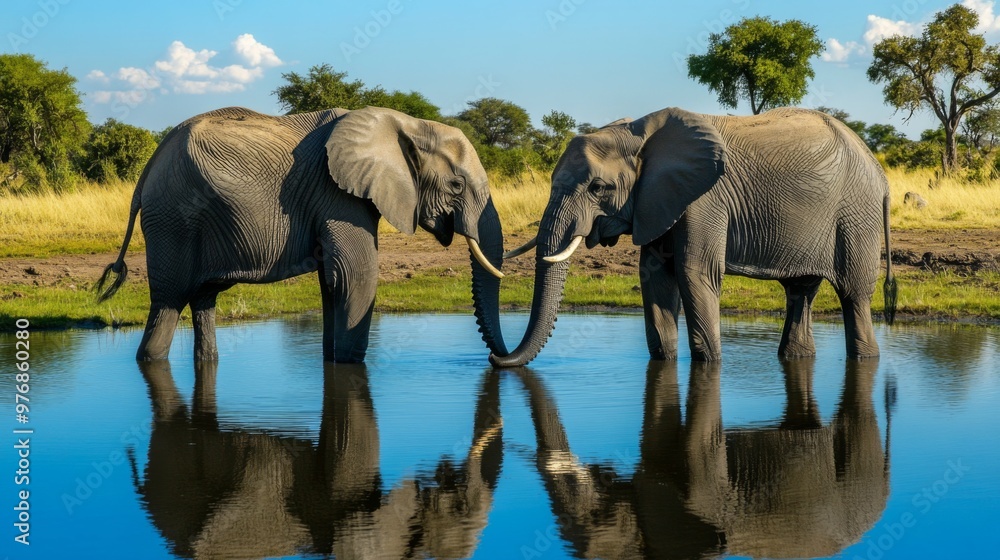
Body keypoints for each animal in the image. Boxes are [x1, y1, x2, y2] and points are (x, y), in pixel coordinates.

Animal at [96, 106, 507, 363]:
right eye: (456, 185)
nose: (493, 359)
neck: (405, 122)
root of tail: (146, 172)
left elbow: (332, 282)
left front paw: (333, 359)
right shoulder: (337, 194)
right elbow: (356, 277)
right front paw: (349, 364)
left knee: (202, 298)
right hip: (173, 219)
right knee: (168, 301)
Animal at [493, 107, 897, 367]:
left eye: (597, 187)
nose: (496, 357)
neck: (635, 131)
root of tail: (879, 170)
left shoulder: (704, 199)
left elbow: (695, 275)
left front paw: (709, 365)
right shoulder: (658, 201)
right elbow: (655, 278)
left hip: (855, 216)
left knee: (854, 296)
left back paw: (866, 357)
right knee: (801, 292)